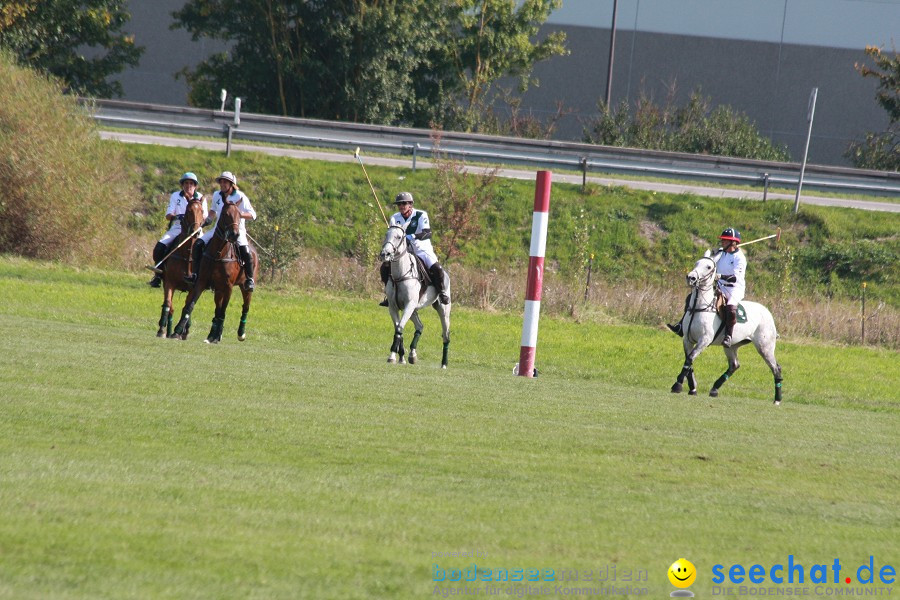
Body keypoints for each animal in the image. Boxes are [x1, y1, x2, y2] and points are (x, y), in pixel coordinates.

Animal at [156, 197, 205, 338]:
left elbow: (187, 307)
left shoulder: (194, 287)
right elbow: (168, 304)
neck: (187, 256)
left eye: (202, 211)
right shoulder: (169, 282)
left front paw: (181, 331)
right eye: (188, 211)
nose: (195, 231)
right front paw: (161, 330)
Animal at [171, 200, 256, 342]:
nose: (235, 235)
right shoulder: (201, 281)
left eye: (240, 215)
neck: (218, 253)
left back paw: (240, 333)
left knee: (245, 306)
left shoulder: (228, 286)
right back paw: (211, 335)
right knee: (217, 308)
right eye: (225, 214)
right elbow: (190, 306)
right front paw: (177, 330)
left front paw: (217, 336)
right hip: (218, 289)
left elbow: (223, 311)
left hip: (244, 287)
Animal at [378, 224, 450, 366]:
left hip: (443, 310)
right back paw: (412, 354)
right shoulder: (394, 307)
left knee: (445, 335)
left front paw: (393, 355)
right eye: (386, 234)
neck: (400, 275)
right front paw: (400, 356)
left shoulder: (409, 304)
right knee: (419, 326)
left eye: (398, 236)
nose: (385, 254)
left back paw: (444, 363)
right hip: (414, 309)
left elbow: (399, 327)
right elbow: (398, 328)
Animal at [672, 248, 784, 404]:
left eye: (709, 267)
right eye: (696, 263)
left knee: (776, 368)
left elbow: (690, 359)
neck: (699, 306)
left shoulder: (704, 340)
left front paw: (677, 385)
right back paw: (714, 389)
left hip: (765, 347)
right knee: (734, 365)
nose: (691, 277)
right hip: (732, 346)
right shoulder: (687, 340)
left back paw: (777, 399)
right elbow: (689, 360)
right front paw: (692, 388)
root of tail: (767, 312)